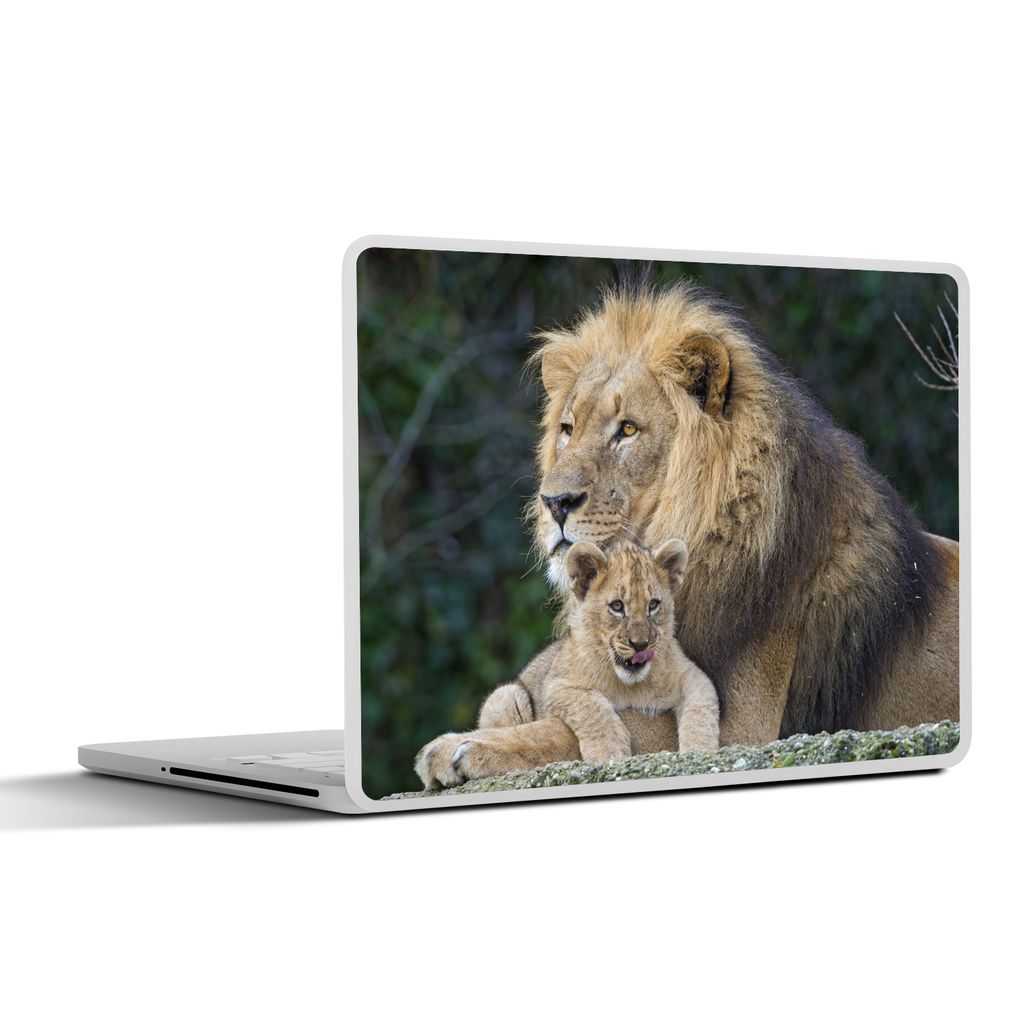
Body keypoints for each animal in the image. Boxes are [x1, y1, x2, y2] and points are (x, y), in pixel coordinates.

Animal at [415, 538, 719, 788]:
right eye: (617, 606)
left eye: (653, 604)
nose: (640, 645)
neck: (631, 685)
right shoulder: (558, 686)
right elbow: (592, 709)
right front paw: (609, 753)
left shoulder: (693, 677)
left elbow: (702, 712)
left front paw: (699, 752)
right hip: (506, 695)